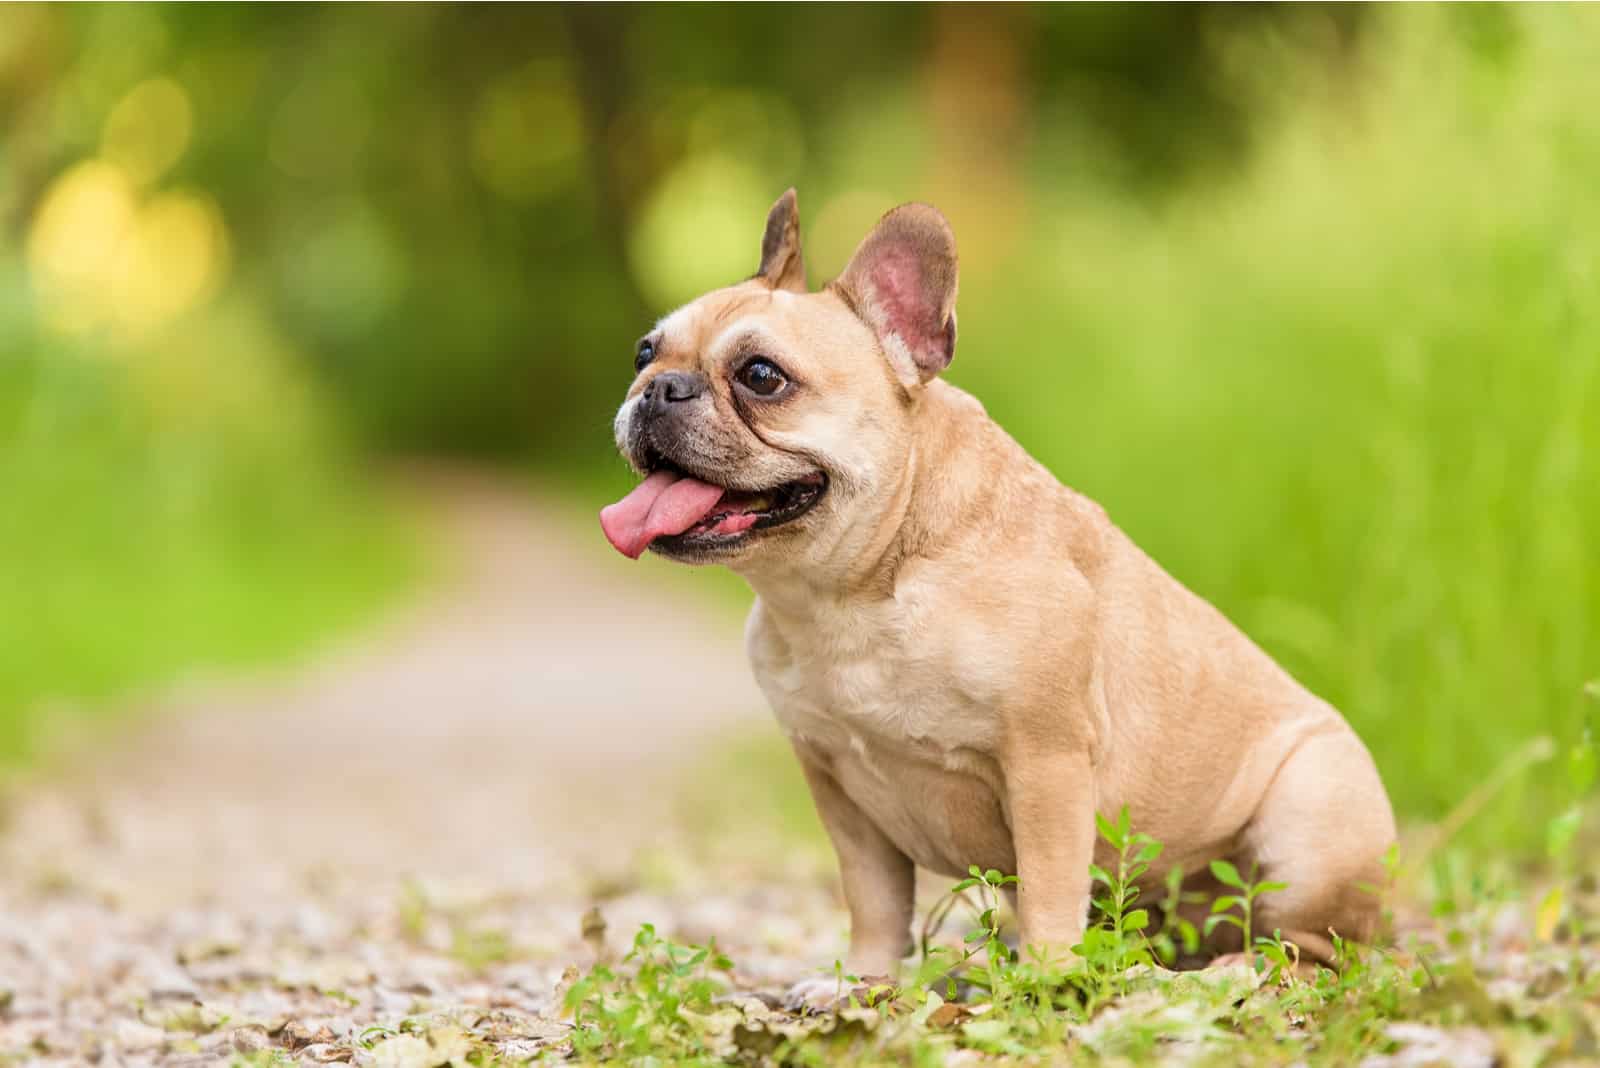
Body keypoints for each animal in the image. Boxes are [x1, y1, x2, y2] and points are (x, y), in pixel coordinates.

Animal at [598, 189, 1388, 991]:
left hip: (1307, 822)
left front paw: (1045, 979)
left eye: (762, 376)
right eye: (643, 353)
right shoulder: (838, 788)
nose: (657, 389)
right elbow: (874, 898)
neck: (849, 593)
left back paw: (1235, 970)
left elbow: (1048, 885)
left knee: (1319, 948)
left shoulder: (1046, 762)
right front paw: (863, 982)